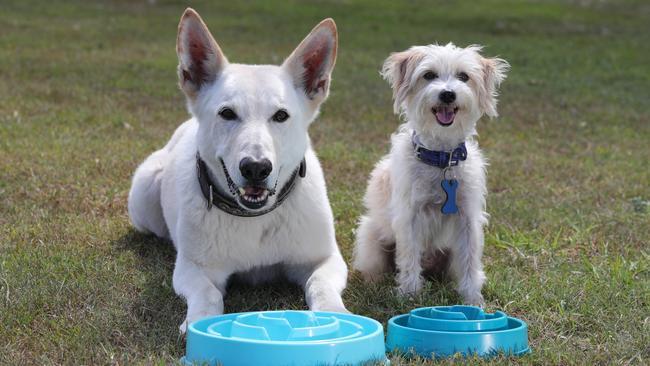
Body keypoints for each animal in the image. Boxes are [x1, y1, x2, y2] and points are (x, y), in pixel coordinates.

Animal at [128, 8, 346, 334]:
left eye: (281, 116)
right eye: (227, 113)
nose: (256, 168)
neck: (255, 218)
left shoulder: (326, 259)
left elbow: (320, 284)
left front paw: (336, 315)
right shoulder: (193, 270)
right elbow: (208, 294)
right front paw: (199, 321)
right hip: (143, 194)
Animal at [350, 43, 506, 306]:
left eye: (463, 76)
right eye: (429, 75)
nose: (448, 94)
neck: (442, 158)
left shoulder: (468, 218)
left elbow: (470, 260)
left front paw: (472, 299)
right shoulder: (410, 216)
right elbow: (409, 256)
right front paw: (410, 294)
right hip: (370, 235)